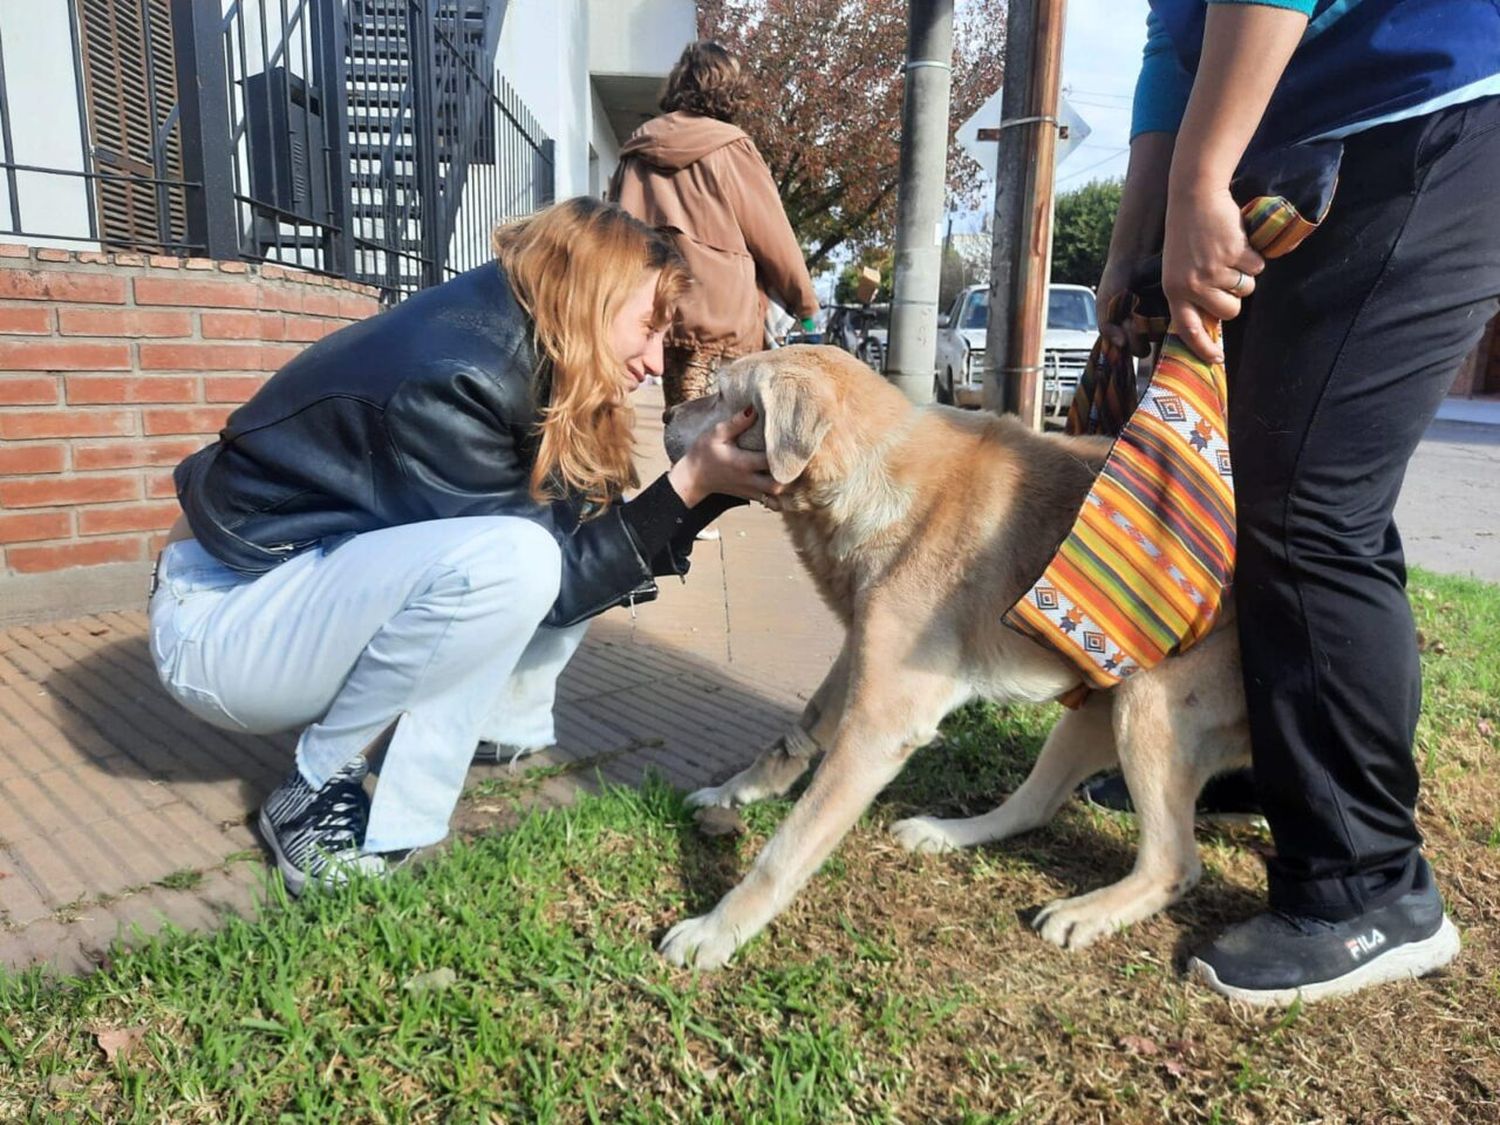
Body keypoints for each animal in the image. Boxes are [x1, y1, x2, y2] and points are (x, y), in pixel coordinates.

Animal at [663, 343, 1248, 972]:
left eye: (722, 396)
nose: (667, 416)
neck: (875, 473)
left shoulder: (881, 724)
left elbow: (786, 848)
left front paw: (716, 930)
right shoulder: (862, 650)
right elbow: (794, 733)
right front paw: (733, 794)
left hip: (1147, 712)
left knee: (1174, 863)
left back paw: (1087, 912)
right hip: (1099, 704)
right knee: (1035, 804)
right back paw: (945, 834)